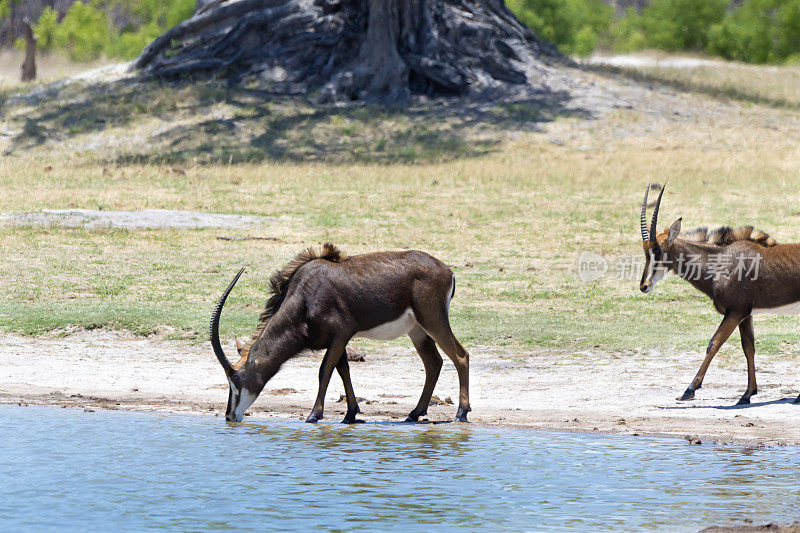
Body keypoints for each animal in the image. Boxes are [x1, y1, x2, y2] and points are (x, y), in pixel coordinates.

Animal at [209, 245, 472, 424]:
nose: (230, 416)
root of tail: (447, 271)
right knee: (433, 362)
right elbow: (343, 370)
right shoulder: (338, 339)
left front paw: (314, 415)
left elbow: (324, 370)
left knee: (460, 356)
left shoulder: (341, 333)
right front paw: (350, 414)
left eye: (235, 380)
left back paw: (461, 413)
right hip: (417, 330)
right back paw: (415, 413)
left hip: (432, 320)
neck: (304, 295)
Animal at [636, 184, 800, 404]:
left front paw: (689, 390)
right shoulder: (745, 314)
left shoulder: (735, 312)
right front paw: (747, 394)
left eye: (657, 250)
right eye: (645, 250)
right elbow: (748, 347)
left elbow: (713, 343)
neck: (721, 261)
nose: (644, 286)